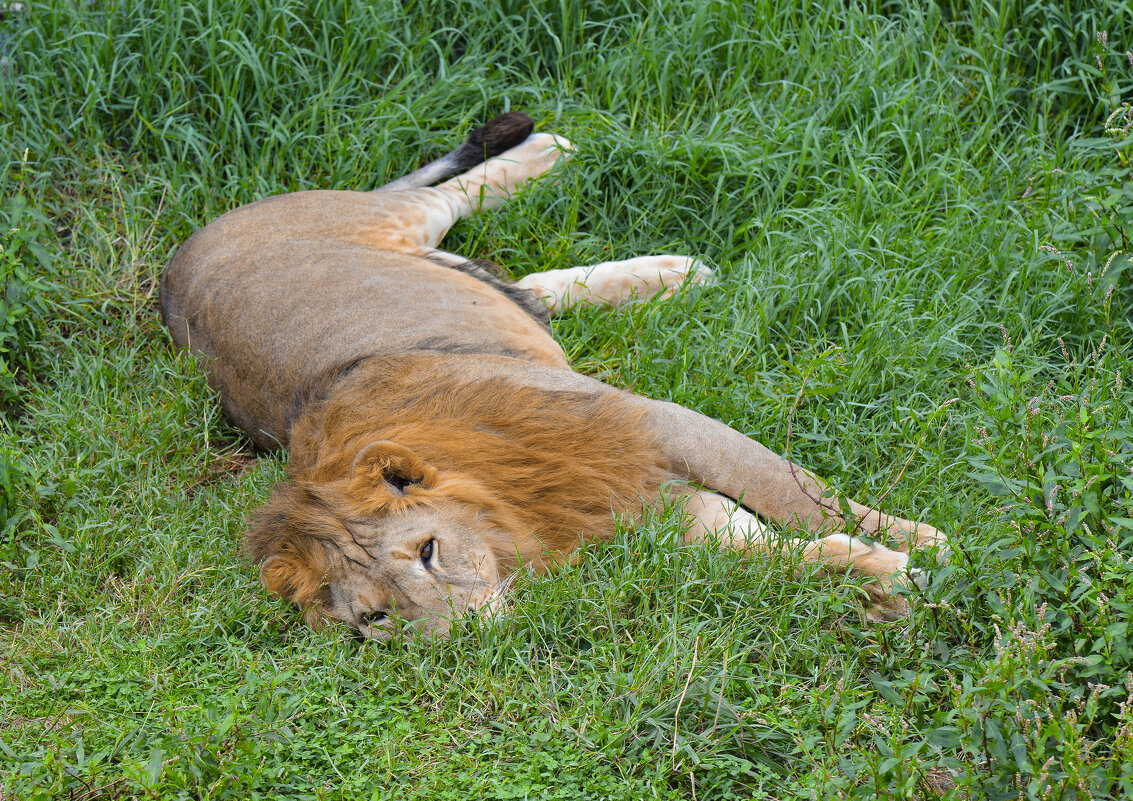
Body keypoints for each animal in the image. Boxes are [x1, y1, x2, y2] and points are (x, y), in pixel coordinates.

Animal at [159, 111, 938, 638]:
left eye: (428, 551)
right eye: (377, 618)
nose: (460, 639)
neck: (508, 512)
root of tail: (175, 262)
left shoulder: (654, 426)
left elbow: (801, 496)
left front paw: (919, 540)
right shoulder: (629, 499)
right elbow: (764, 550)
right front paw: (883, 578)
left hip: (390, 218)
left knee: (462, 192)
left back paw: (550, 151)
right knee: (528, 282)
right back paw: (672, 274)